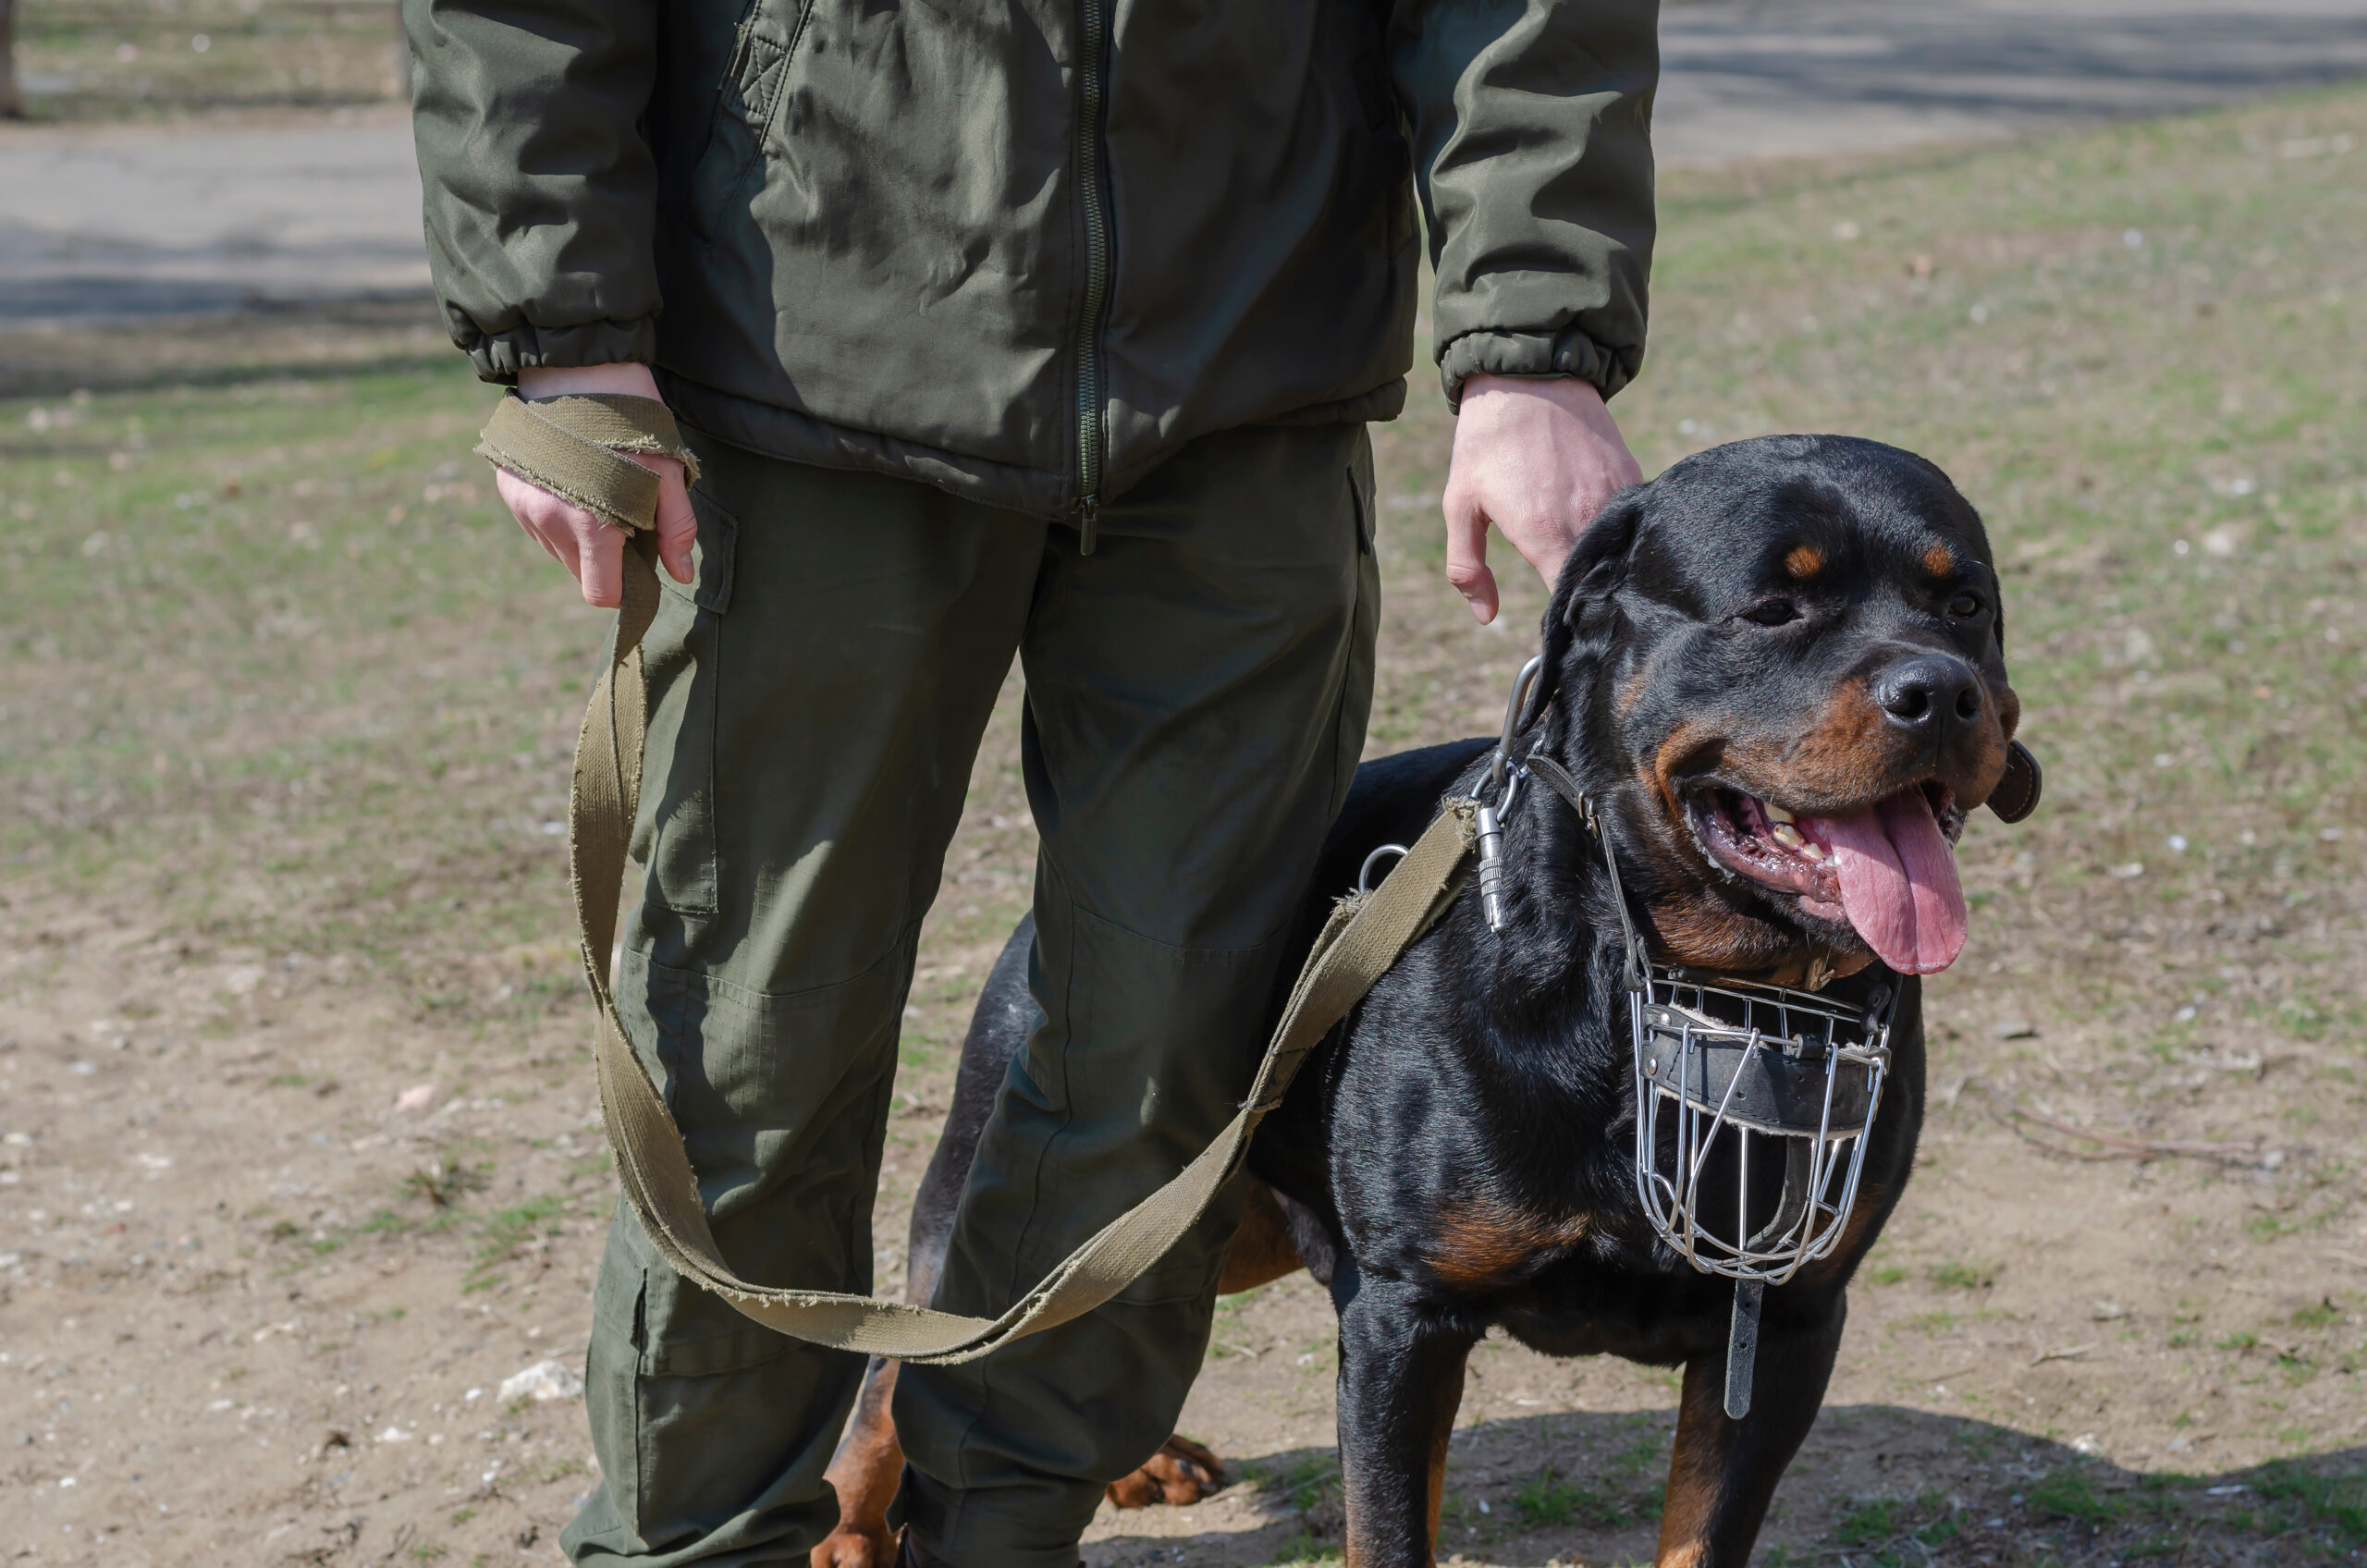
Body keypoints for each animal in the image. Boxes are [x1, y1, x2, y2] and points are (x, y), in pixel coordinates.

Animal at [814, 435, 2035, 1568]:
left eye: (1965, 605)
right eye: (1774, 607)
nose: (1939, 691)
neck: (1680, 985)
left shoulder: (1784, 1324)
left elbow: (1700, 1535)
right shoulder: (1403, 1314)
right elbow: (1391, 1528)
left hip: (1217, 1218)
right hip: (1034, 1174)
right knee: (919, 1354)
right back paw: (845, 1525)